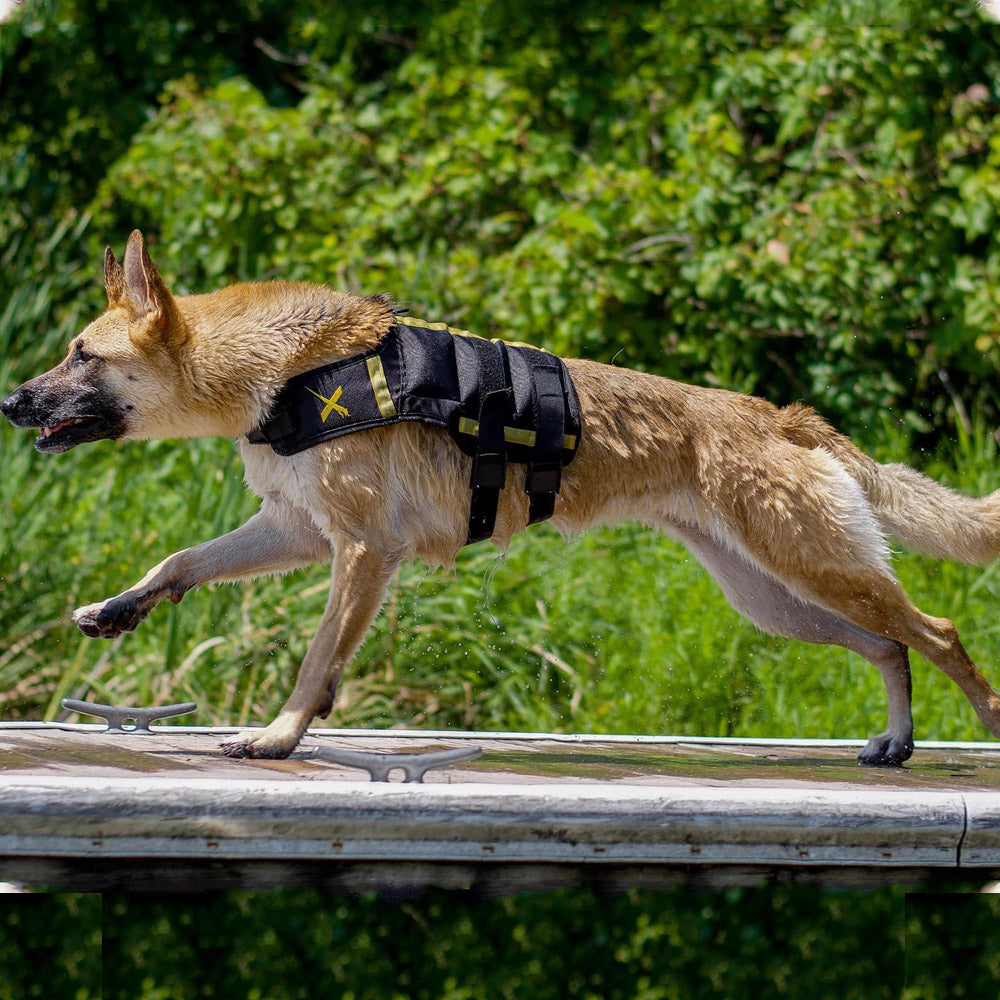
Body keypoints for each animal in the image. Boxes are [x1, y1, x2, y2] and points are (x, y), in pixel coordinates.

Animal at [1, 230, 1000, 764]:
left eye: (81, 357)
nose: (10, 401)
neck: (283, 369)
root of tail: (782, 416)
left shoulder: (360, 554)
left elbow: (316, 662)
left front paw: (280, 737)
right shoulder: (296, 530)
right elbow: (181, 560)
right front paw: (119, 610)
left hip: (815, 573)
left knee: (942, 634)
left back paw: (979, 729)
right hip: (781, 600)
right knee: (893, 647)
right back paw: (895, 742)